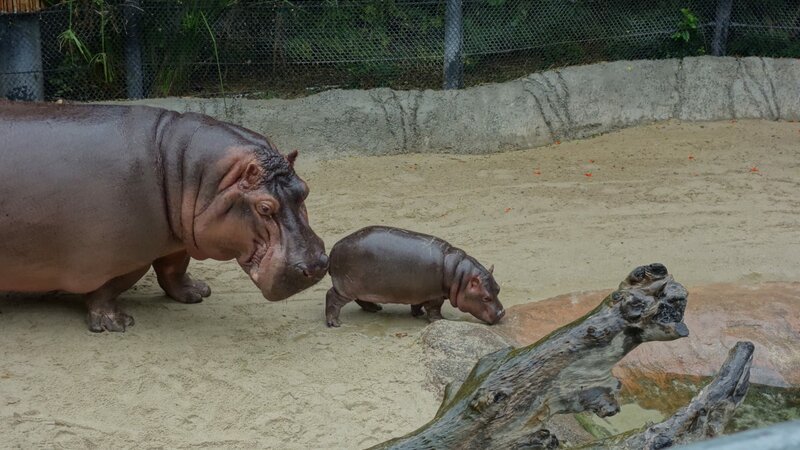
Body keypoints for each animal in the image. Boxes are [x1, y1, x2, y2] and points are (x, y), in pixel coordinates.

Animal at [0, 100, 328, 332]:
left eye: (305, 189)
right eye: (264, 207)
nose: (316, 265)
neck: (183, 169)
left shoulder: (176, 239)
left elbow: (174, 268)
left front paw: (196, 293)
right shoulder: (120, 257)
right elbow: (109, 289)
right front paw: (115, 324)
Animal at [324, 225, 506, 326]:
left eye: (498, 289)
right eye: (486, 298)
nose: (502, 313)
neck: (459, 276)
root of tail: (332, 251)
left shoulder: (420, 293)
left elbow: (417, 304)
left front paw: (417, 314)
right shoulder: (435, 295)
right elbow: (434, 309)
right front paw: (441, 320)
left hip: (361, 287)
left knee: (361, 299)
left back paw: (375, 308)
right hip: (346, 287)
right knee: (331, 296)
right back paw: (335, 323)